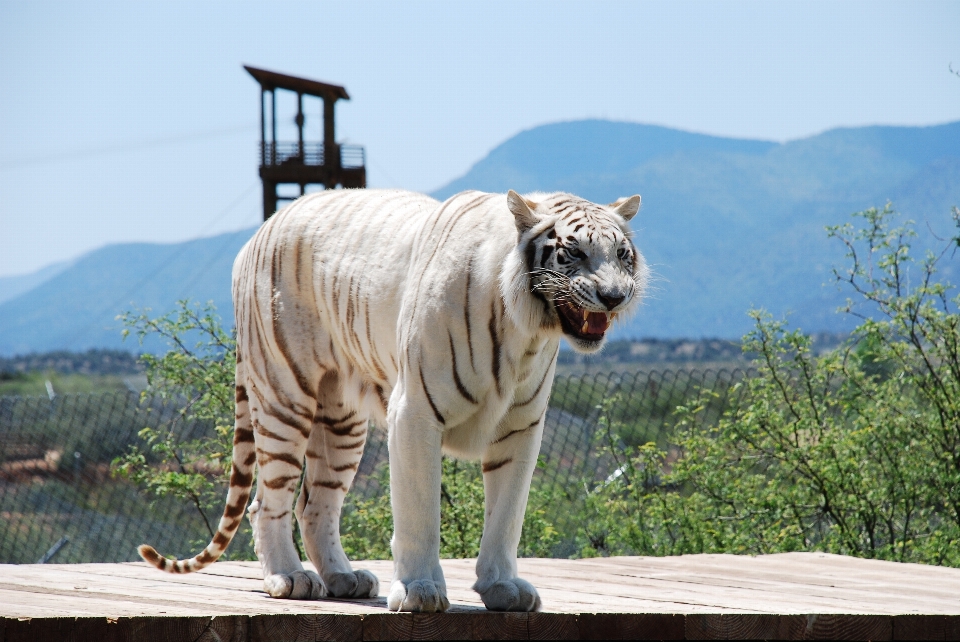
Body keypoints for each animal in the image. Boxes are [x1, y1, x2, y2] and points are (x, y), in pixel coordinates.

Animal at [137, 189, 644, 608]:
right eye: (574, 252)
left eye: (622, 254)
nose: (614, 296)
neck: (526, 329)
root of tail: (264, 226)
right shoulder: (416, 412)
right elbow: (420, 511)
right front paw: (420, 590)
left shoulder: (521, 427)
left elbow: (506, 514)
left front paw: (502, 587)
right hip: (284, 394)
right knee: (269, 501)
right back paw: (289, 578)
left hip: (341, 423)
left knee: (314, 505)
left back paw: (344, 578)